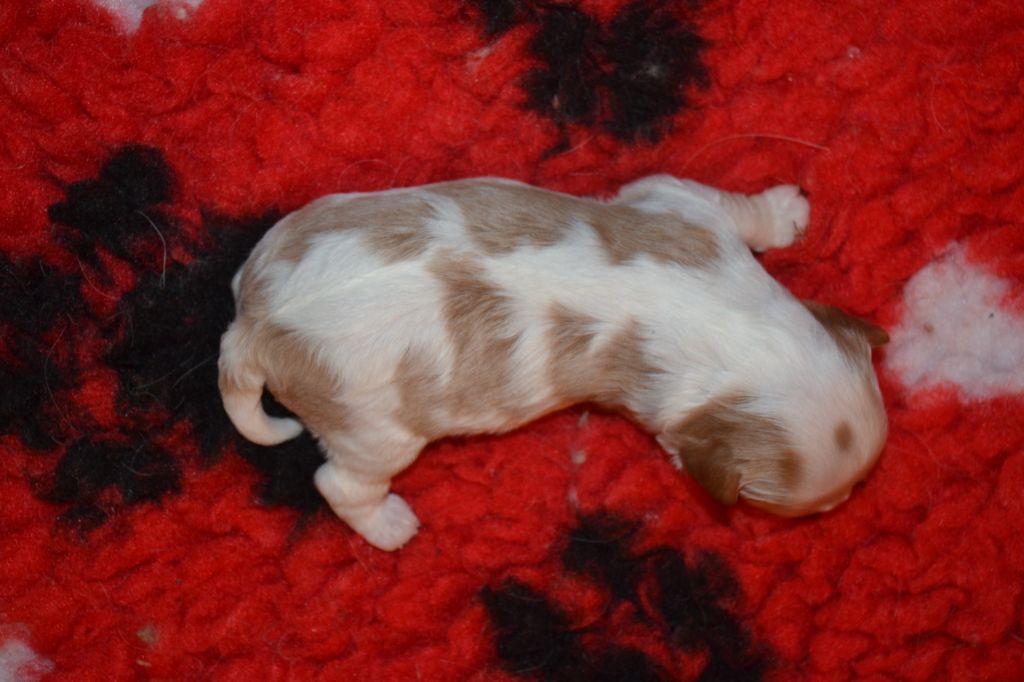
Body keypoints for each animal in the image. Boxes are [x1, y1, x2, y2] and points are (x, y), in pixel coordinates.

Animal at [218, 175, 889, 550]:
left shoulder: (679, 204)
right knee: (340, 483)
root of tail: (255, 327)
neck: (737, 330)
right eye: (822, 502)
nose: (847, 504)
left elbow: (735, 208)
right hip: (373, 431)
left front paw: (785, 213)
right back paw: (389, 526)